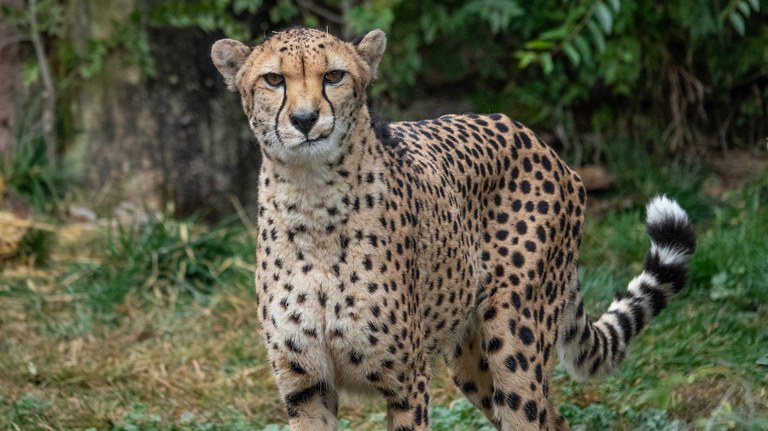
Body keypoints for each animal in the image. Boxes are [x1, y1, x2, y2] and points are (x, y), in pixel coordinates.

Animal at [210, 27, 696, 431]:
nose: (306, 119)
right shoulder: (305, 387)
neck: (312, 200)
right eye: (274, 80)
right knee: (554, 419)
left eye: (334, 75)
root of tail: (532, 136)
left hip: (516, 339)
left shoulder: (406, 383)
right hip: (469, 358)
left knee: (530, 413)